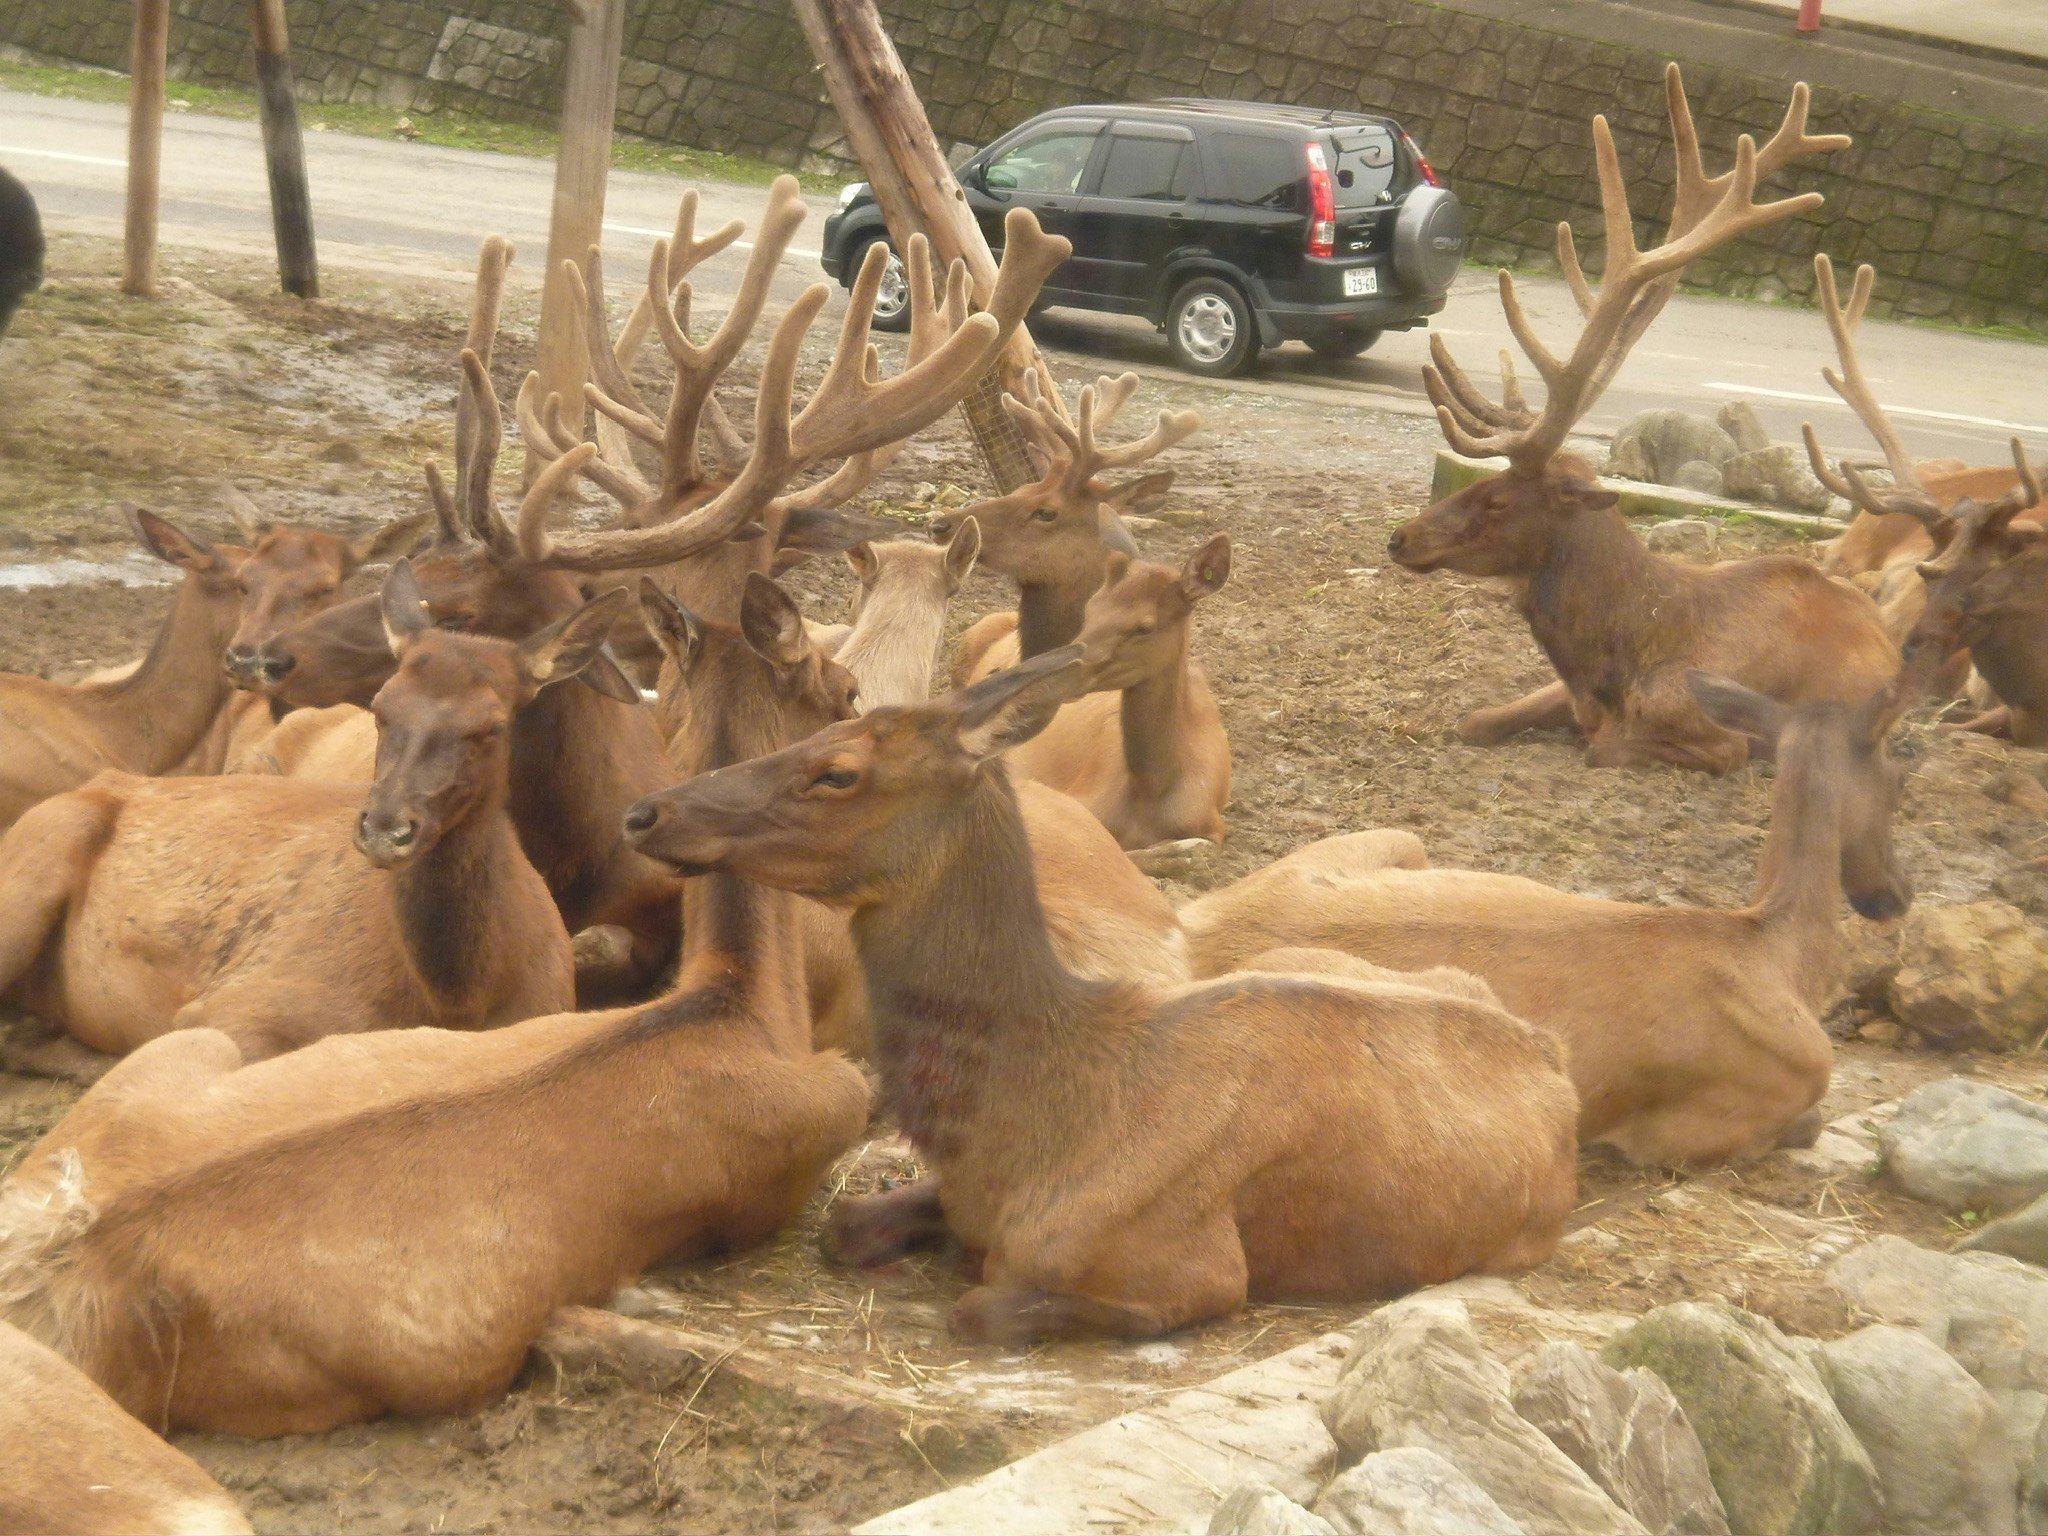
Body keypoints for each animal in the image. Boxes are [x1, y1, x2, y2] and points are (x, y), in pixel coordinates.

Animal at [616, 648, 1579, 1344]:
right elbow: (844, 1222)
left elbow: (980, 1305)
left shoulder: (1190, 1271)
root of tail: (1552, 1056)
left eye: (840, 770)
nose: (646, 812)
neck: (1036, 1116)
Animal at [1180, 668, 1919, 1168]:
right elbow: (1808, 1123)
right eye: (1897, 779)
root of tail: (1194, 926)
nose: (1897, 893)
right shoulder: (1690, 1133)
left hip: (1396, 841)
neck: (1777, 953)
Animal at [1386, 67, 1897, 775]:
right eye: (1479, 483)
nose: (1400, 537)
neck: (1621, 655)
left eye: (1498, 500)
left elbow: (1606, 749)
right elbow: (1476, 720)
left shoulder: (1717, 737)